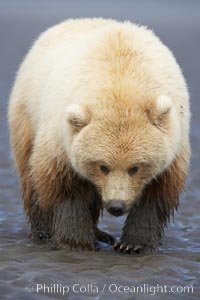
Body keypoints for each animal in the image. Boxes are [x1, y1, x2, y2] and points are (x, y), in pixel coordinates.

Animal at [7, 18, 190, 253]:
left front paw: (133, 244)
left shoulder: (174, 142)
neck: (121, 82)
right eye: (103, 166)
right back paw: (44, 231)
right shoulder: (60, 138)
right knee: (30, 174)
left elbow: (156, 193)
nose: (116, 206)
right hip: (27, 112)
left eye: (135, 167)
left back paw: (101, 233)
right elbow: (65, 186)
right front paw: (76, 242)